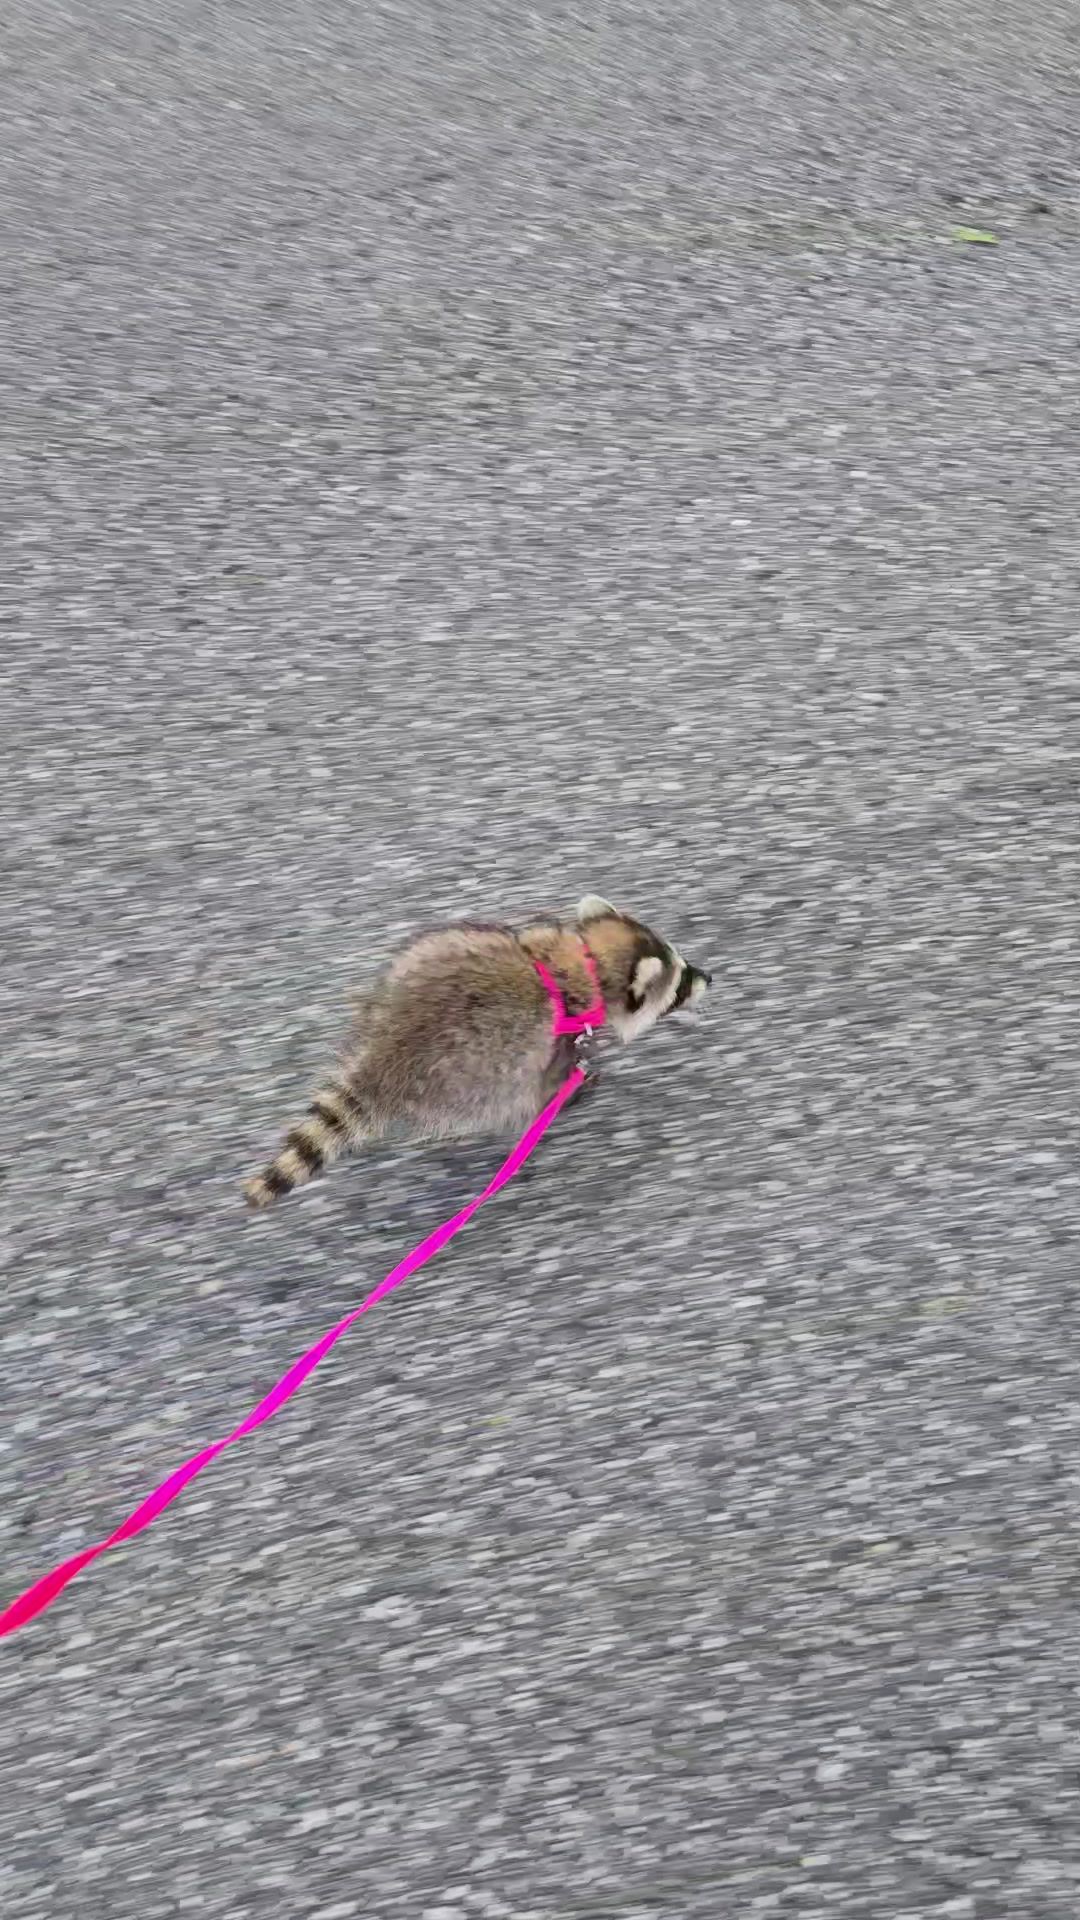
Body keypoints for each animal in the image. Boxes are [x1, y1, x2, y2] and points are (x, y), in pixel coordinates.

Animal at [244, 894, 710, 1209]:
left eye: (682, 963)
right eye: (679, 984)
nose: (709, 977)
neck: (590, 962)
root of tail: (382, 1059)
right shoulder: (555, 1041)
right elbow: (554, 1081)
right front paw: (575, 1087)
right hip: (472, 1079)